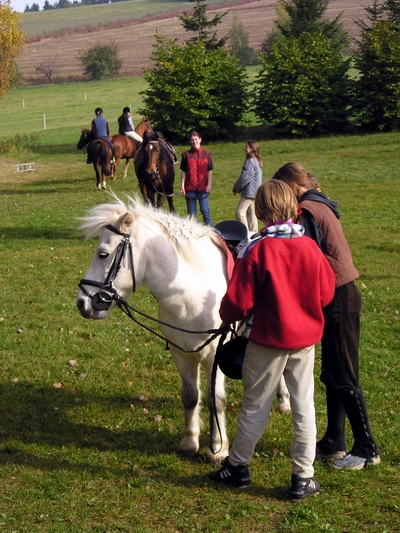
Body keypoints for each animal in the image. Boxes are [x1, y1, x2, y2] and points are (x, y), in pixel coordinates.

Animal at [76, 194, 290, 462]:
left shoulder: (214, 355)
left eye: (103, 254)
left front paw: (218, 448)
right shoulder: (181, 353)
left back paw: (284, 401)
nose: (81, 302)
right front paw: (190, 443)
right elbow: (190, 397)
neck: (192, 293)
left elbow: (216, 400)